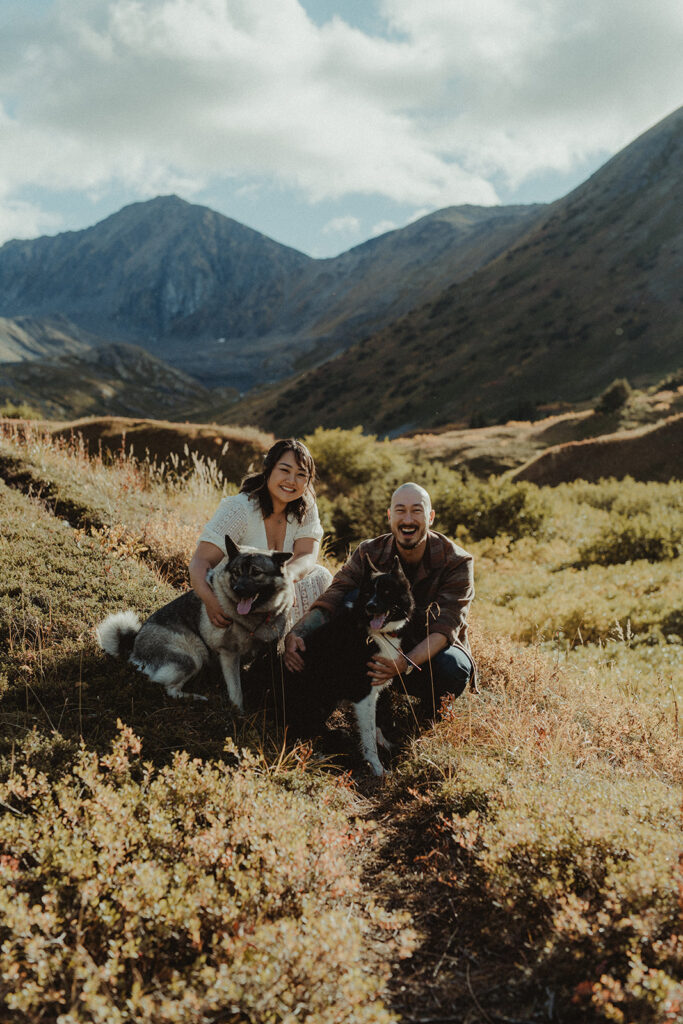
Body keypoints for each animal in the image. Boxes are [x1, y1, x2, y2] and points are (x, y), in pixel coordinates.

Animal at [94, 536, 292, 712]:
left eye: (256, 572)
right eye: (236, 573)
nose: (238, 589)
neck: (257, 617)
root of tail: (134, 648)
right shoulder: (229, 654)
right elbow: (236, 691)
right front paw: (238, 714)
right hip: (193, 657)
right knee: (170, 689)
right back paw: (195, 698)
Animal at [280, 557, 413, 770]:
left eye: (386, 592)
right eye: (367, 593)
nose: (370, 607)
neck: (373, 632)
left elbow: (375, 724)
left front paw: (384, 744)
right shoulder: (362, 694)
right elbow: (368, 735)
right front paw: (377, 767)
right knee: (298, 732)